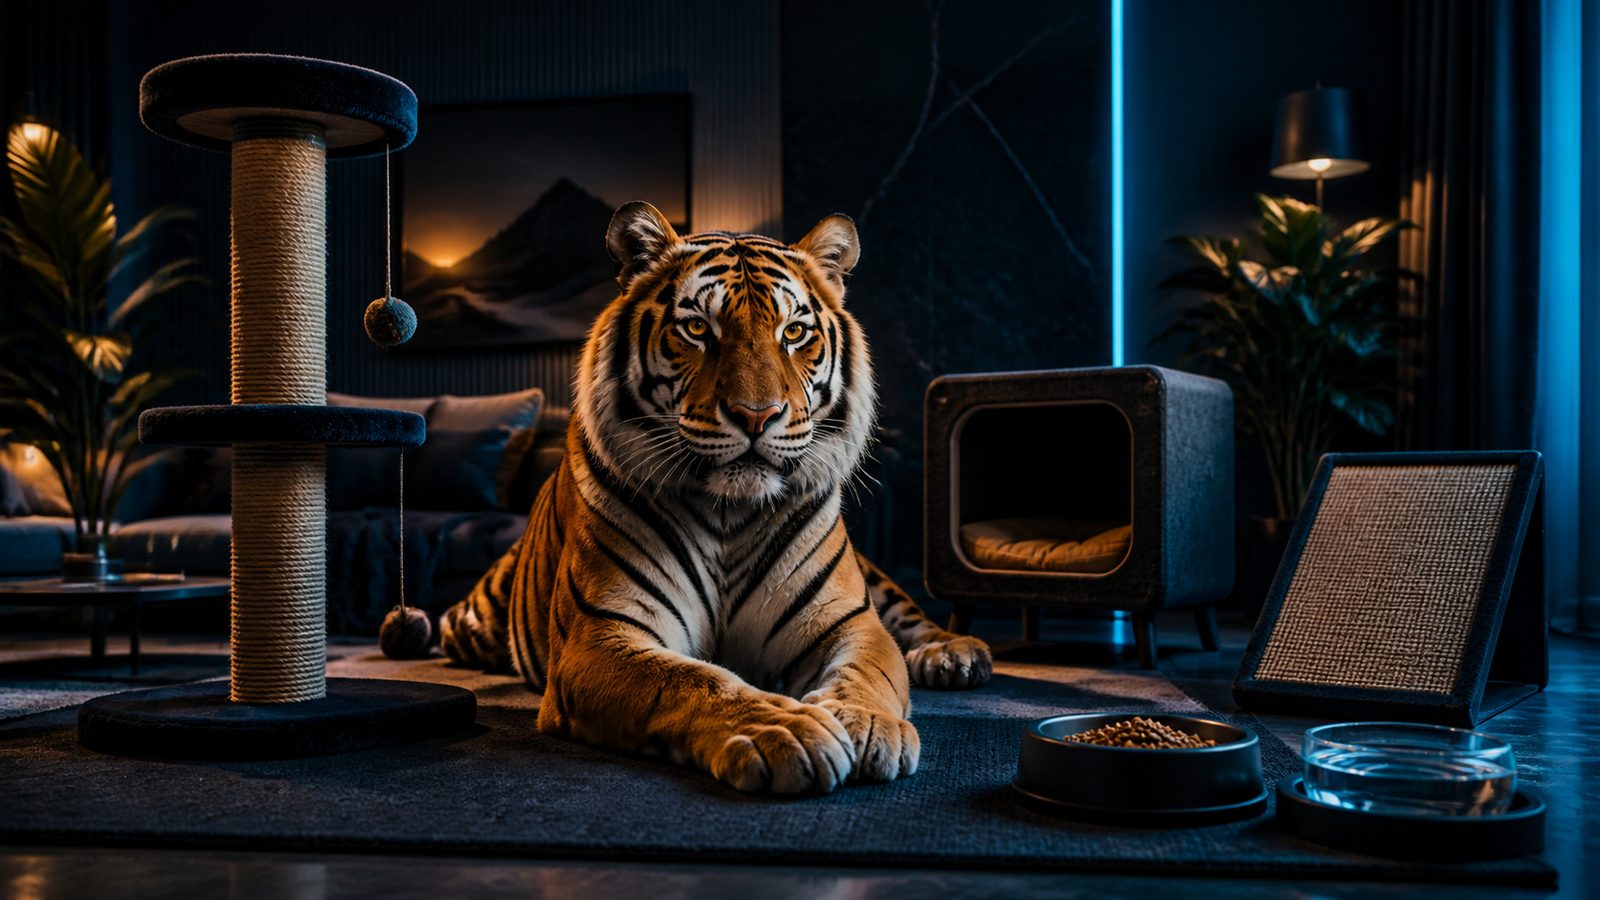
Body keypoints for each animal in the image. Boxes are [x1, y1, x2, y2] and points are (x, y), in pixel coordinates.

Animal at [438, 201, 992, 794]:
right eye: (698, 328)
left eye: (795, 332)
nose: (756, 415)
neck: (730, 510)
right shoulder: (601, 636)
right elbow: (692, 681)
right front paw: (788, 730)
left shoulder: (851, 622)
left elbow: (870, 672)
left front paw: (865, 723)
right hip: (473, 621)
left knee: (910, 615)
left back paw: (953, 653)